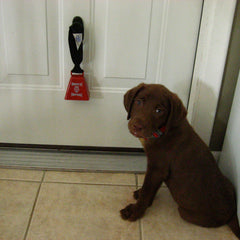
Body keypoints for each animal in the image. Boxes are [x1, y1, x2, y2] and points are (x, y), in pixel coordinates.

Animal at [121, 82, 240, 238]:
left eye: (159, 110)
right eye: (139, 102)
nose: (137, 126)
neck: (162, 132)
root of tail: (232, 212)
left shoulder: (157, 168)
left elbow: (147, 190)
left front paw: (135, 211)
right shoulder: (159, 171)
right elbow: (151, 190)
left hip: (185, 212)